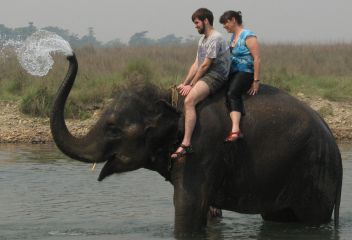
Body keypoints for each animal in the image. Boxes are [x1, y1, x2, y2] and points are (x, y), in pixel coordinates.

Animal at [51, 54, 342, 234]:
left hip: (315, 175)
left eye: (113, 128)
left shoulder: (201, 149)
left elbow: (188, 207)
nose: (68, 56)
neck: (172, 99)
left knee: (311, 220)